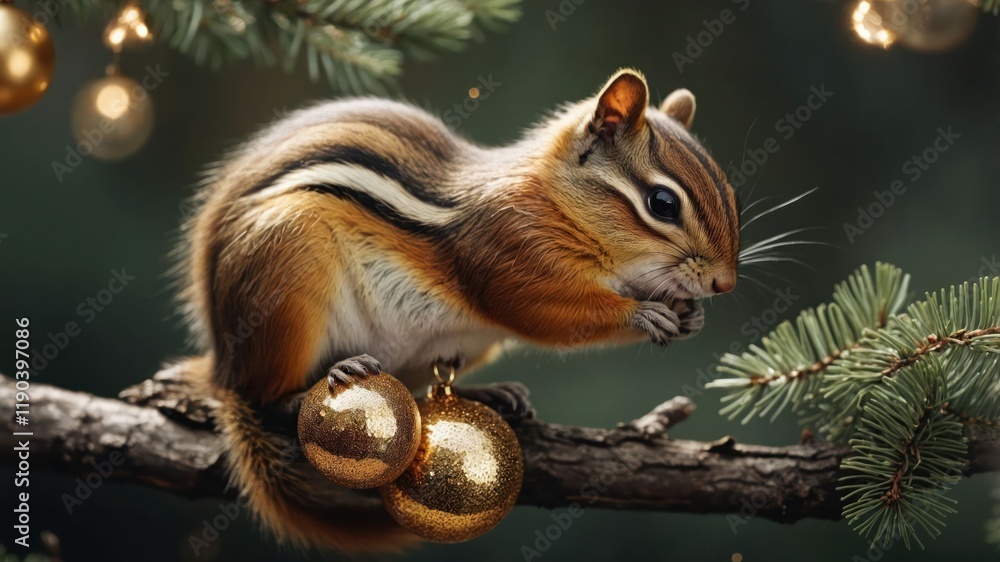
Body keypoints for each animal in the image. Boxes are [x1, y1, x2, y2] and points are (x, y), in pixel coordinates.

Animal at [174, 68, 739, 552]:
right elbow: (545, 315)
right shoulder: (509, 255)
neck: (556, 205)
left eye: (730, 191)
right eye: (663, 203)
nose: (724, 283)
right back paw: (324, 380)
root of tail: (222, 360)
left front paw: (690, 315)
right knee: (263, 394)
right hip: (285, 272)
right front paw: (642, 314)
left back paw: (491, 392)